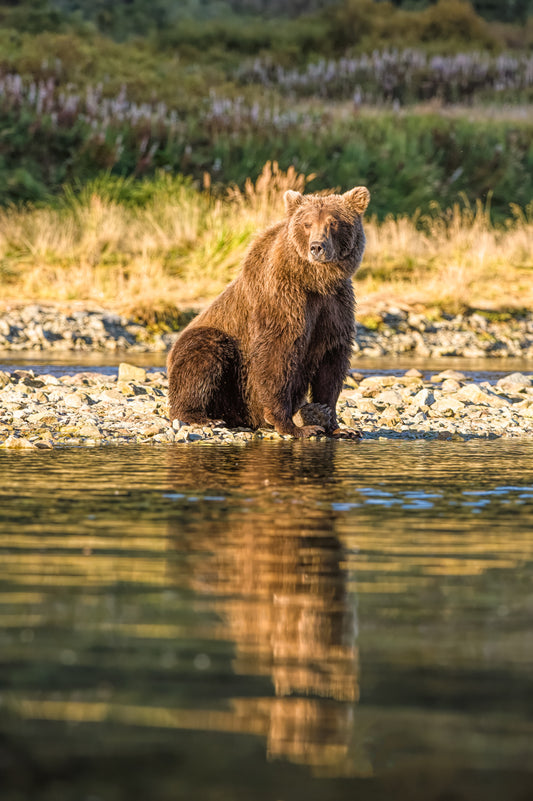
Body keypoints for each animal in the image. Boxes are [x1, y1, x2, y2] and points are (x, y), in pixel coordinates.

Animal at [167, 184, 370, 438]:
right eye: (307, 223)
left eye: (333, 222)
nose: (317, 247)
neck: (314, 281)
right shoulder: (282, 298)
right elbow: (276, 353)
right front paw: (293, 426)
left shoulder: (335, 305)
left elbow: (331, 361)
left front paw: (337, 425)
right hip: (219, 362)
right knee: (202, 355)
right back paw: (203, 418)